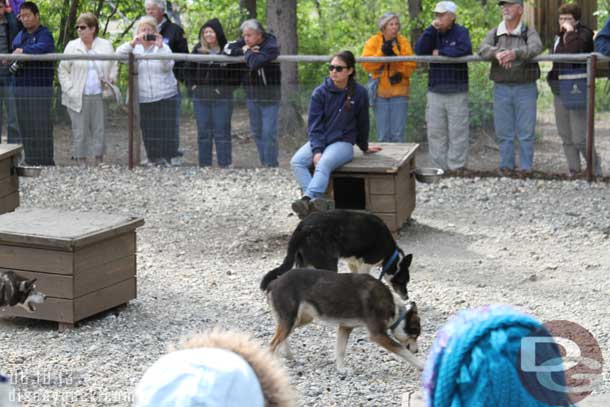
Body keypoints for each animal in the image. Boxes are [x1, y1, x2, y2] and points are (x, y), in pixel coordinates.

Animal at [258, 210, 410, 300]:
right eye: (403, 280)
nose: (407, 298)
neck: (390, 254)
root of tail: (301, 228)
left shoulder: (352, 262)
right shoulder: (365, 264)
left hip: (304, 263)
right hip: (328, 264)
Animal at [266, 270, 422, 374]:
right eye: (415, 334)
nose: (417, 350)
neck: (396, 309)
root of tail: (275, 282)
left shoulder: (345, 327)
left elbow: (340, 350)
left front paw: (341, 370)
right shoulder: (378, 335)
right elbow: (403, 351)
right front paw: (421, 365)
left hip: (300, 320)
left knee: (279, 335)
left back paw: (288, 355)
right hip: (291, 320)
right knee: (273, 343)